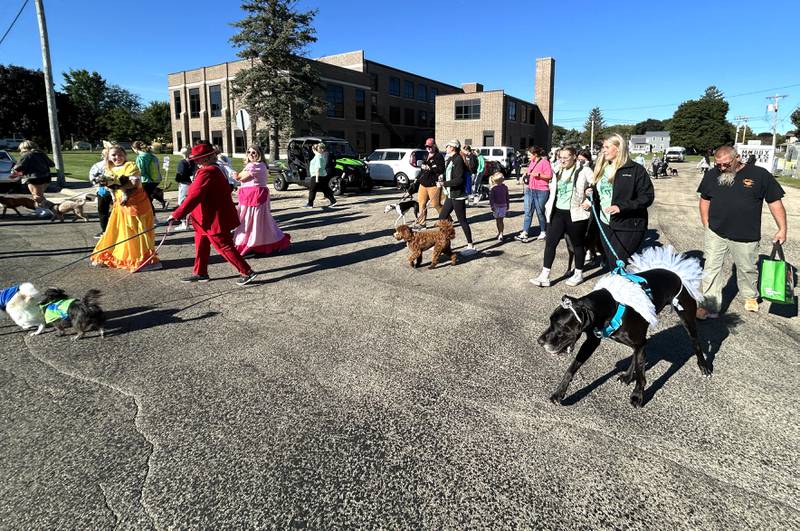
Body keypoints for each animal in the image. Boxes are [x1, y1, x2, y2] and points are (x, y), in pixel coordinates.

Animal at [536, 247, 712, 410]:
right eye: (551, 321)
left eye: (560, 325)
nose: (539, 341)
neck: (610, 305)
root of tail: (676, 273)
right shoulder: (592, 342)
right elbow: (572, 368)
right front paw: (559, 393)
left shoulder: (637, 342)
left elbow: (641, 375)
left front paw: (637, 396)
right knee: (638, 353)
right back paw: (627, 377)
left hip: (687, 319)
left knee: (695, 342)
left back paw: (704, 366)